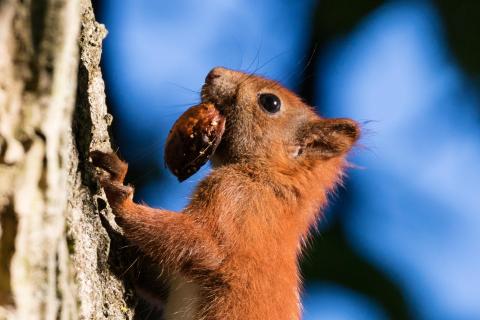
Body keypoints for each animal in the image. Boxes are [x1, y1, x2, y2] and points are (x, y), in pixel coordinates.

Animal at [91, 66, 360, 318]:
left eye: (270, 102)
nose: (214, 73)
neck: (269, 179)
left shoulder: (234, 198)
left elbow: (197, 242)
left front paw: (120, 197)